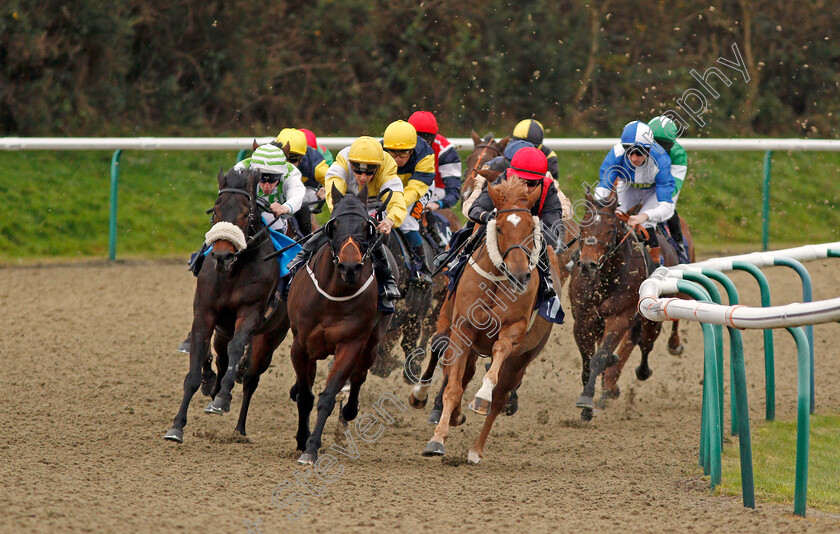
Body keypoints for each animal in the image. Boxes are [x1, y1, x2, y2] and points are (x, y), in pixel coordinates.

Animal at [166, 171, 290, 444]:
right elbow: (195, 367)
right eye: (215, 211)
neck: (233, 272)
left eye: (247, 213)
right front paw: (177, 426)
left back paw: (239, 427)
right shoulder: (205, 314)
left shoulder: (250, 312)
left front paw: (222, 399)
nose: (222, 255)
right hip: (223, 332)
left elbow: (237, 350)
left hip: (270, 338)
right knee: (222, 361)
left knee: (250, 377)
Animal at [288, 184, 394, 464]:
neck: (333, 296)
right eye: (333, 226)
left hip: (373, 342)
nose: (349, 266)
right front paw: (302, 439)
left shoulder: (351, 344)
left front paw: (312, 448)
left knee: (359, 376)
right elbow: (305, 397)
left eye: (366, 227)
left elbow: (328, 396)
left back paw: (349, 410)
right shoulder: (300, 345)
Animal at [572, 193, 696, 422]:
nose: (587, 264)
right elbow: (587, 360)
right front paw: (590, 394)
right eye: (583, 227)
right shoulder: (583, 320)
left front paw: (586, 400)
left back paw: (661, 355)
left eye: (610, 229)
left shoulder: (620, 317)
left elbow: (599, 358)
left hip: (653, 315)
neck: (606, 278)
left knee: (647, 343)